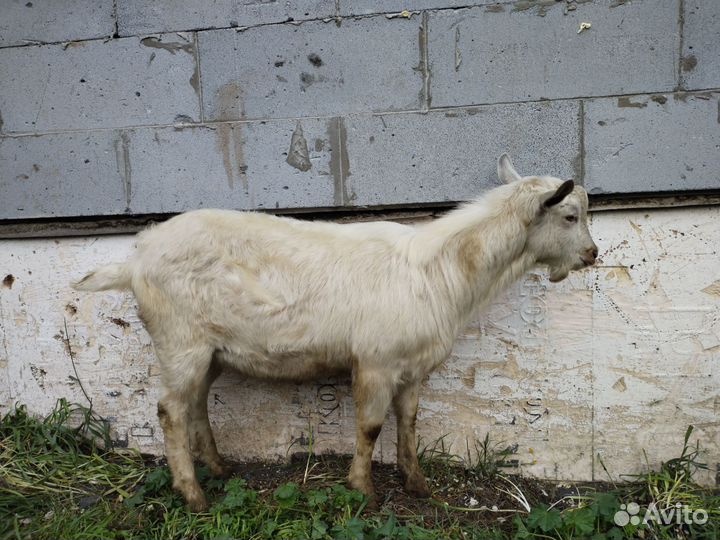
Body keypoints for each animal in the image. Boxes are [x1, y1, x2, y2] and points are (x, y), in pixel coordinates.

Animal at [73, 154, 598, 511]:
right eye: (570, 216)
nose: (592, 255)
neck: (439, 270)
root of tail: (136, 260)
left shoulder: (412, 367)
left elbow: (409, 421)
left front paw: (417, 484)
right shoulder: (376, 361)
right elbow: (369, 427)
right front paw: (362, 488)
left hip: (209, 351)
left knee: (195, 404)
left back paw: (220, 468)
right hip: (180, 342)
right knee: (170, 412)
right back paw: (193, 493)